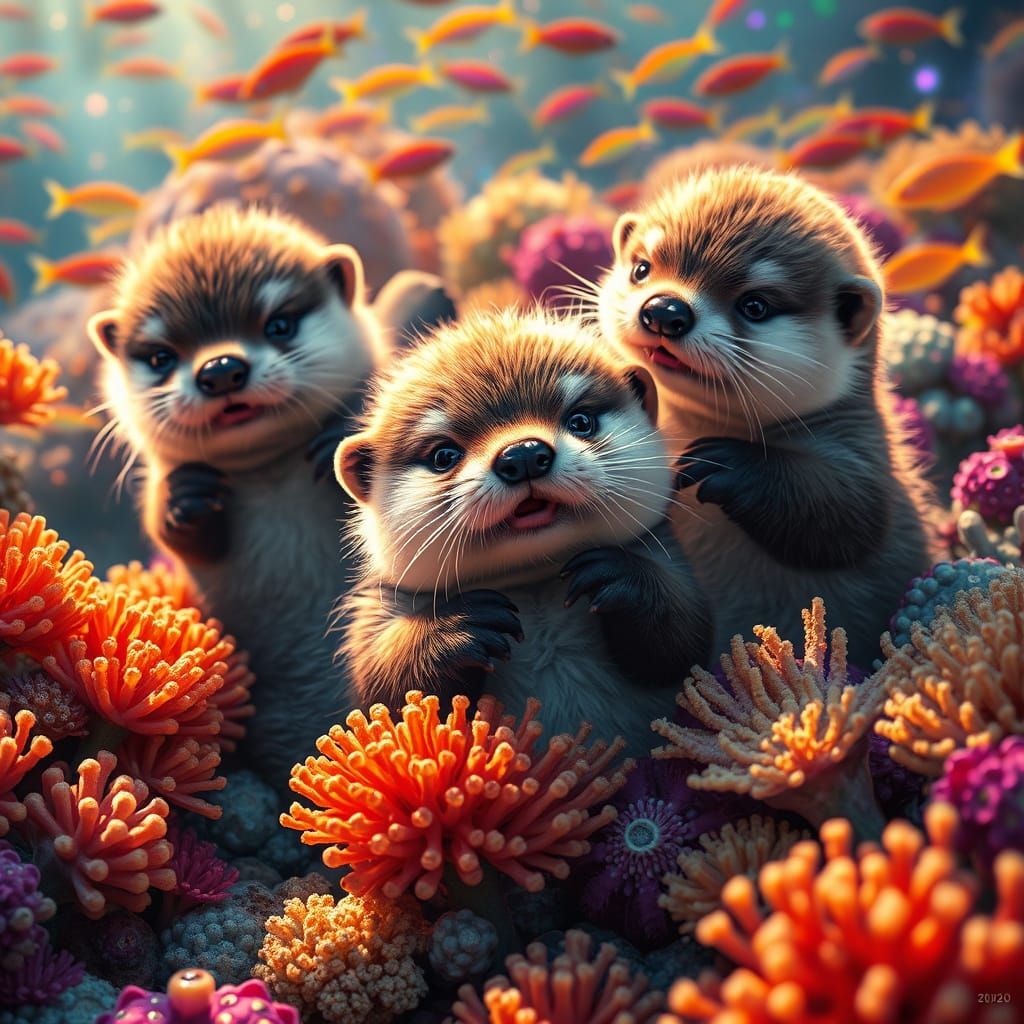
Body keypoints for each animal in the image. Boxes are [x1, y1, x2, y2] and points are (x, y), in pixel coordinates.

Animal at [334, 307, 711, 753]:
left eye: (581, 420)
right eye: (444, 455)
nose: (524, 454)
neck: (533, 587)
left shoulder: (669, 560)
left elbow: (685, 641)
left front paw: (619, 576)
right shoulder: (377, 611)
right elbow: (384, 696)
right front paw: (455, 626)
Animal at [597, 166, 941, 667]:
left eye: (755, 305)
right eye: (642, 268)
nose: (664, 310)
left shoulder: (864, 451)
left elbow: (852, 514)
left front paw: (728, 463)